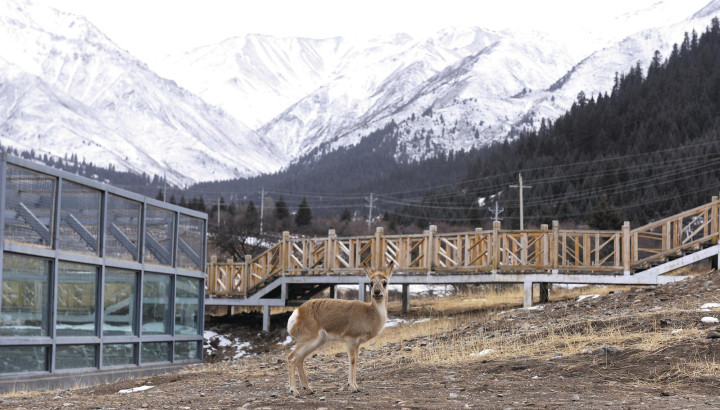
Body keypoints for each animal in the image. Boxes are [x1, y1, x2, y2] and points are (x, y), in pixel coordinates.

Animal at [286, 262, 394, 396]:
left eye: (385, 282)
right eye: (371, 282)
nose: (377, 292)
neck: (369, 313)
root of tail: (298, 311)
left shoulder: (357, 344)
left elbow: (356, 360)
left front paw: (356, 386)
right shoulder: (350, 340)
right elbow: (352, 360)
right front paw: (352, 387)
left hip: (316, 342)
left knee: (299, 359)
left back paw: (309, 389)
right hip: (309, 340)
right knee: (291, 357)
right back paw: (294, 391)